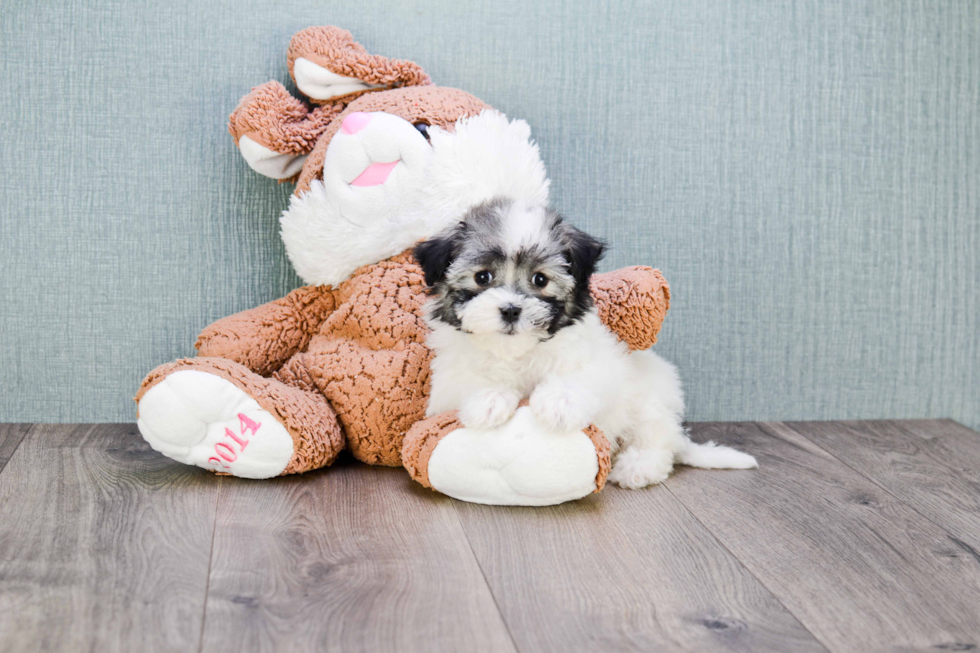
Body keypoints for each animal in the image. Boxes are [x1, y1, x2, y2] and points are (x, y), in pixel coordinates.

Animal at [414, 196, 756, 486]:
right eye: (482, 277)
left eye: (540, 279)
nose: (511, 309)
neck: (517, 353)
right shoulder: (447, 380)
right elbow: (468, 381)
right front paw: (489, 400)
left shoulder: (597, 360)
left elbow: (579, 377)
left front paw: (558, 404)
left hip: (652, 400)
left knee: (656, 439)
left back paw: (638, 467)